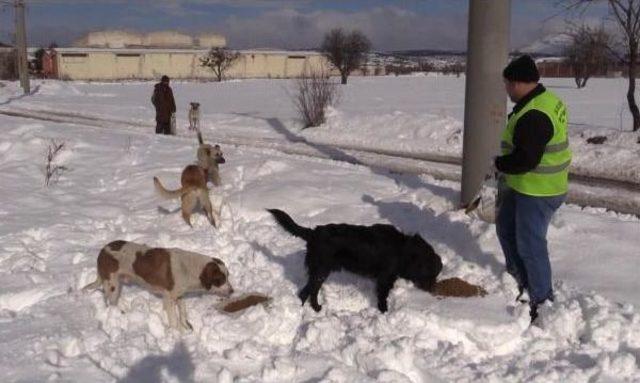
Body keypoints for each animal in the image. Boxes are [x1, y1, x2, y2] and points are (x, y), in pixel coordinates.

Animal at [82, 242, 232, 332]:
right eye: (220, 280)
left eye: (228, 276)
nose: (232, 290)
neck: (189, 267)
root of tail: (103, 250)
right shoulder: (168, 298)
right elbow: (174, 320)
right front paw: (178, 335)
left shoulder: (179, 295)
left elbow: (183, 311)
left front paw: (186, 326)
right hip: (113, 285)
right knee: (110, 302)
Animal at [268, 208, 442, 314]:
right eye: (430, 273)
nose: (433, 289)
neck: (403, 250)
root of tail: (313, 233)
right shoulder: (384, 280)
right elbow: (382, 299)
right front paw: (384, 313)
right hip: (320, 271)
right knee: (308, 292)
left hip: (319, 272)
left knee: (307, 293)